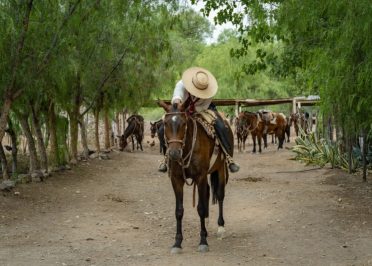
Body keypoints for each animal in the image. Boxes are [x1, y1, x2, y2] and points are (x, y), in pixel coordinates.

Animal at [158, 100, 231, 254]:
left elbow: (201, 208)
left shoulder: (200, 176)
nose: (174, 153)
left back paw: (221, 227)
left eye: (184, 123)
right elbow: (179, 211)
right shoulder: (176, 179)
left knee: (220, 195)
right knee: (208, 192)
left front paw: (203, 242)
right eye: (165, 123)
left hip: (220, 169)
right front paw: (177, 243)